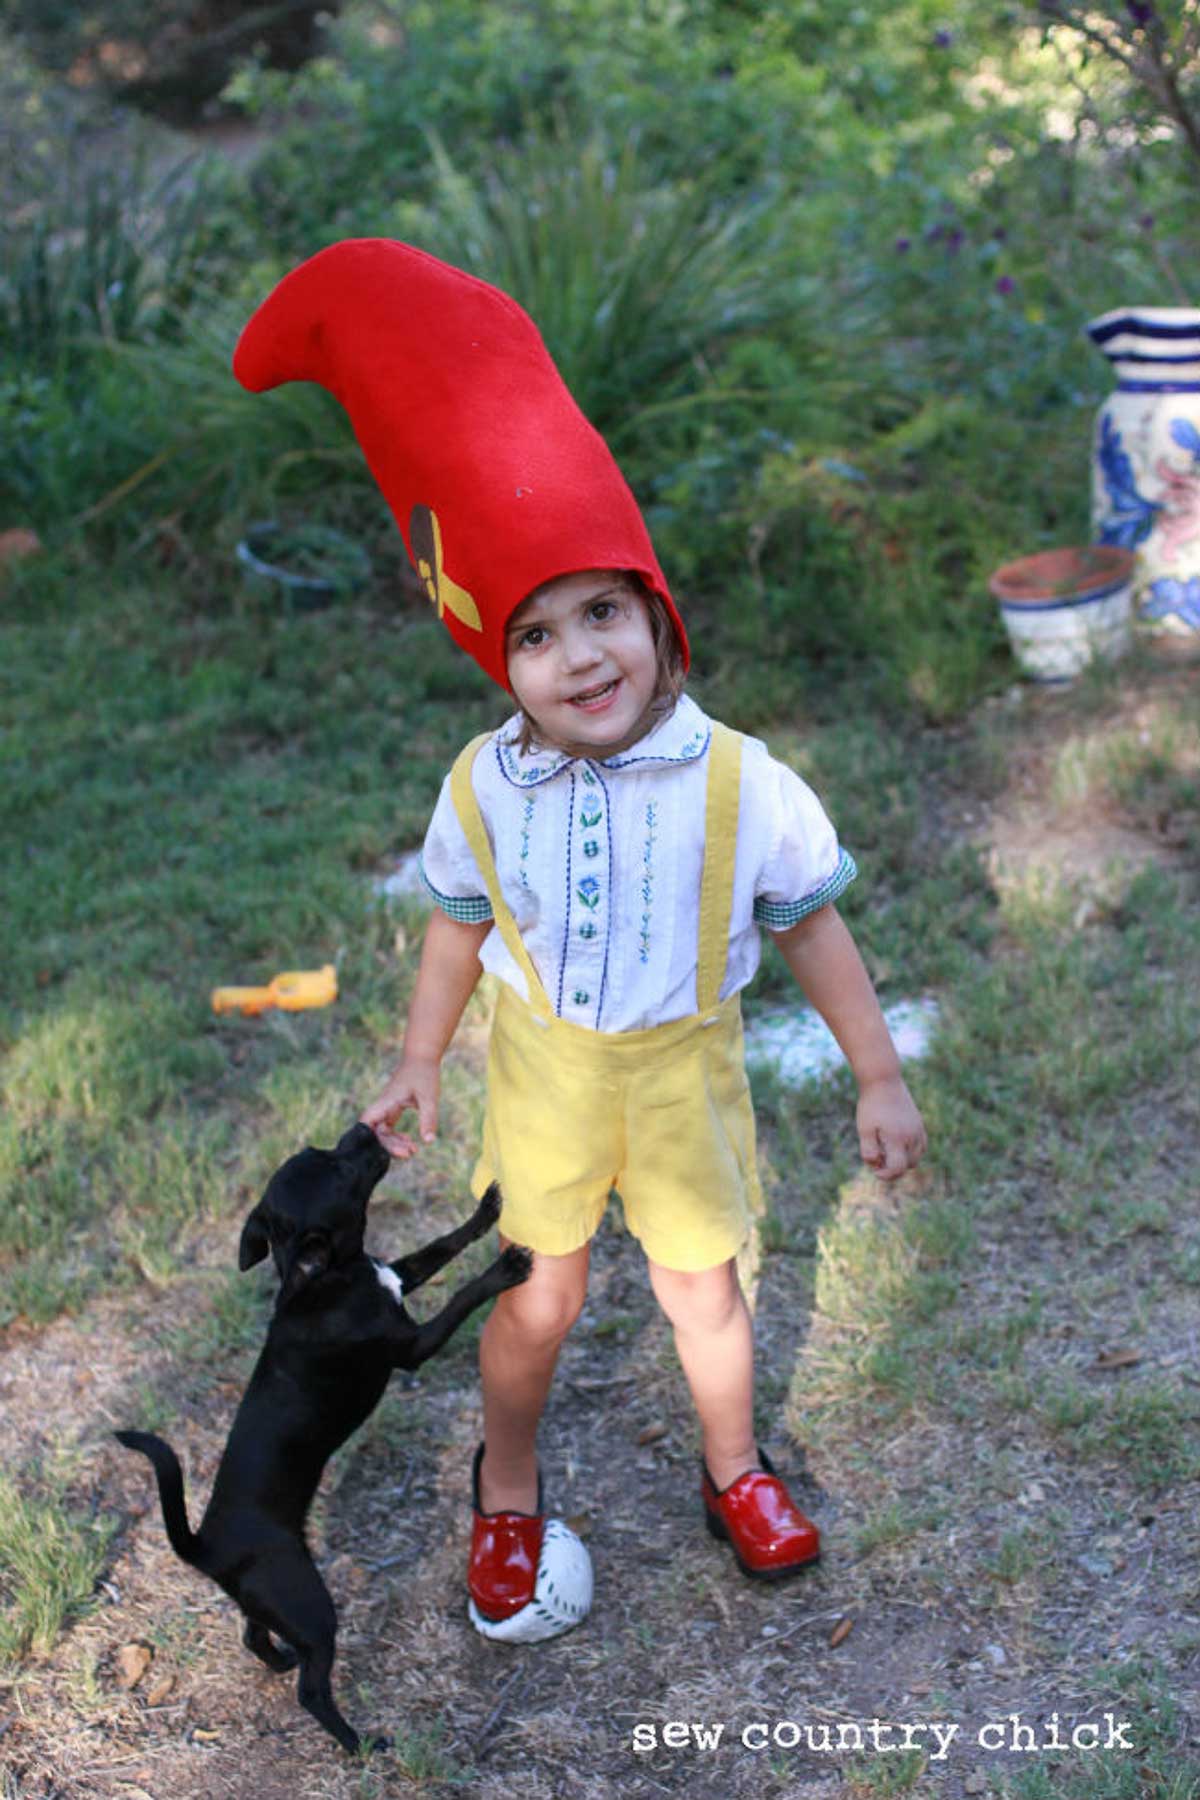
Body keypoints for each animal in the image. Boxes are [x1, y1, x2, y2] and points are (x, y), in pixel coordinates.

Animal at [116, 1123, 528, 1756]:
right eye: (337, 1170)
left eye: (323, 1150)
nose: (362, 1127)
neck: (330, 1274)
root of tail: (204, 1547)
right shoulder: (414, 1346)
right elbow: (461, 1296)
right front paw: (505, 1269)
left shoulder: (399, 1274)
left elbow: (441, 1246)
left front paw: (485, 1210)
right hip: (311, 1606)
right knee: (312, 1690)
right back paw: (359, 1743)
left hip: (271, 1600)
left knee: (253, 1636)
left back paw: (281, 1661)